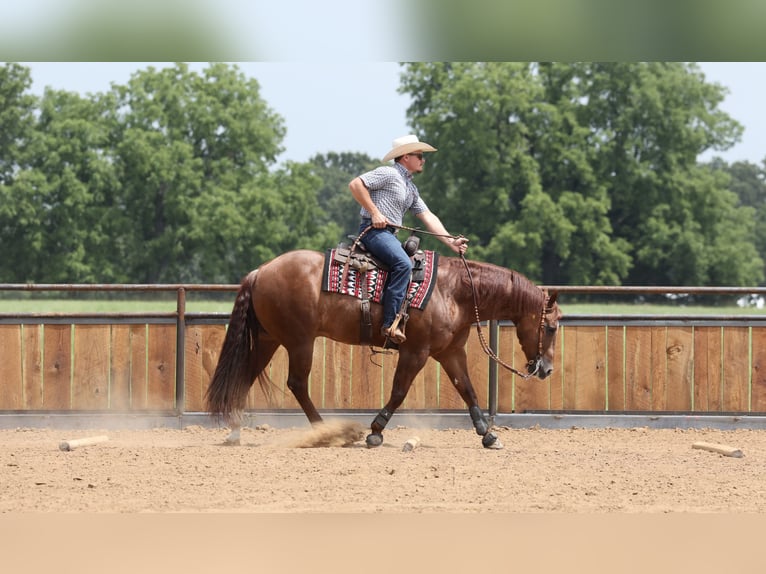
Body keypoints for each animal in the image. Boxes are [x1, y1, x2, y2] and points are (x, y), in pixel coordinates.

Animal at [205, 248, 561, 449]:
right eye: (552, 326)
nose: (546, 369)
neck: (454, 291)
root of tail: (260, 271)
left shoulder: (450, 353)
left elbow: (468, 391)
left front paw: (488, 435)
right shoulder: (416, 351)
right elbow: (399, 391)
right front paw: (375, 431)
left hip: (270, 339)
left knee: (246, 376)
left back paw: (236, 431)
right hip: (299, 341)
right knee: (297, 384)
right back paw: (329, 432)